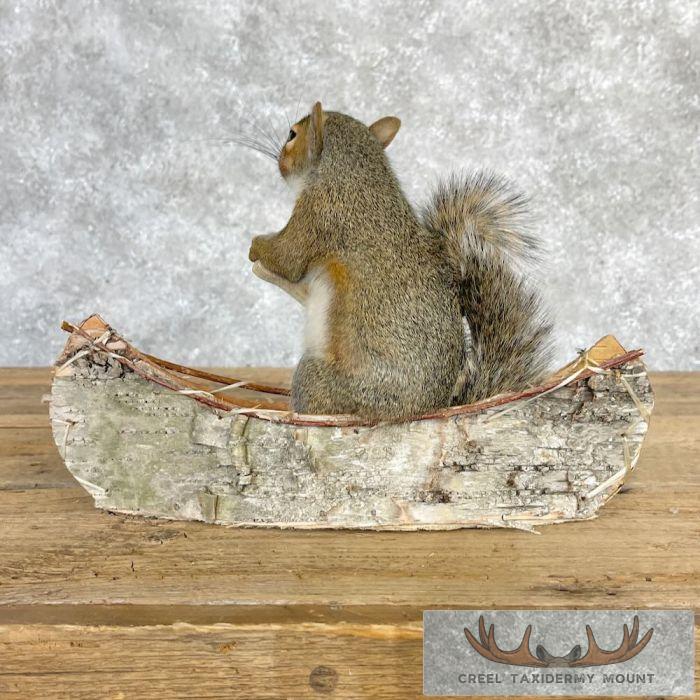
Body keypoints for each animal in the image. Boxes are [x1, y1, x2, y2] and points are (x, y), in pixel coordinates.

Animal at [248, 102, 552, 420]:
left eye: (292, 135)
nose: (279, 161)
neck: (349, 171)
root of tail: (422, 410)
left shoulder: (318, 213)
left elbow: (287, 258)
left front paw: (256, 246)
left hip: (318, 379)